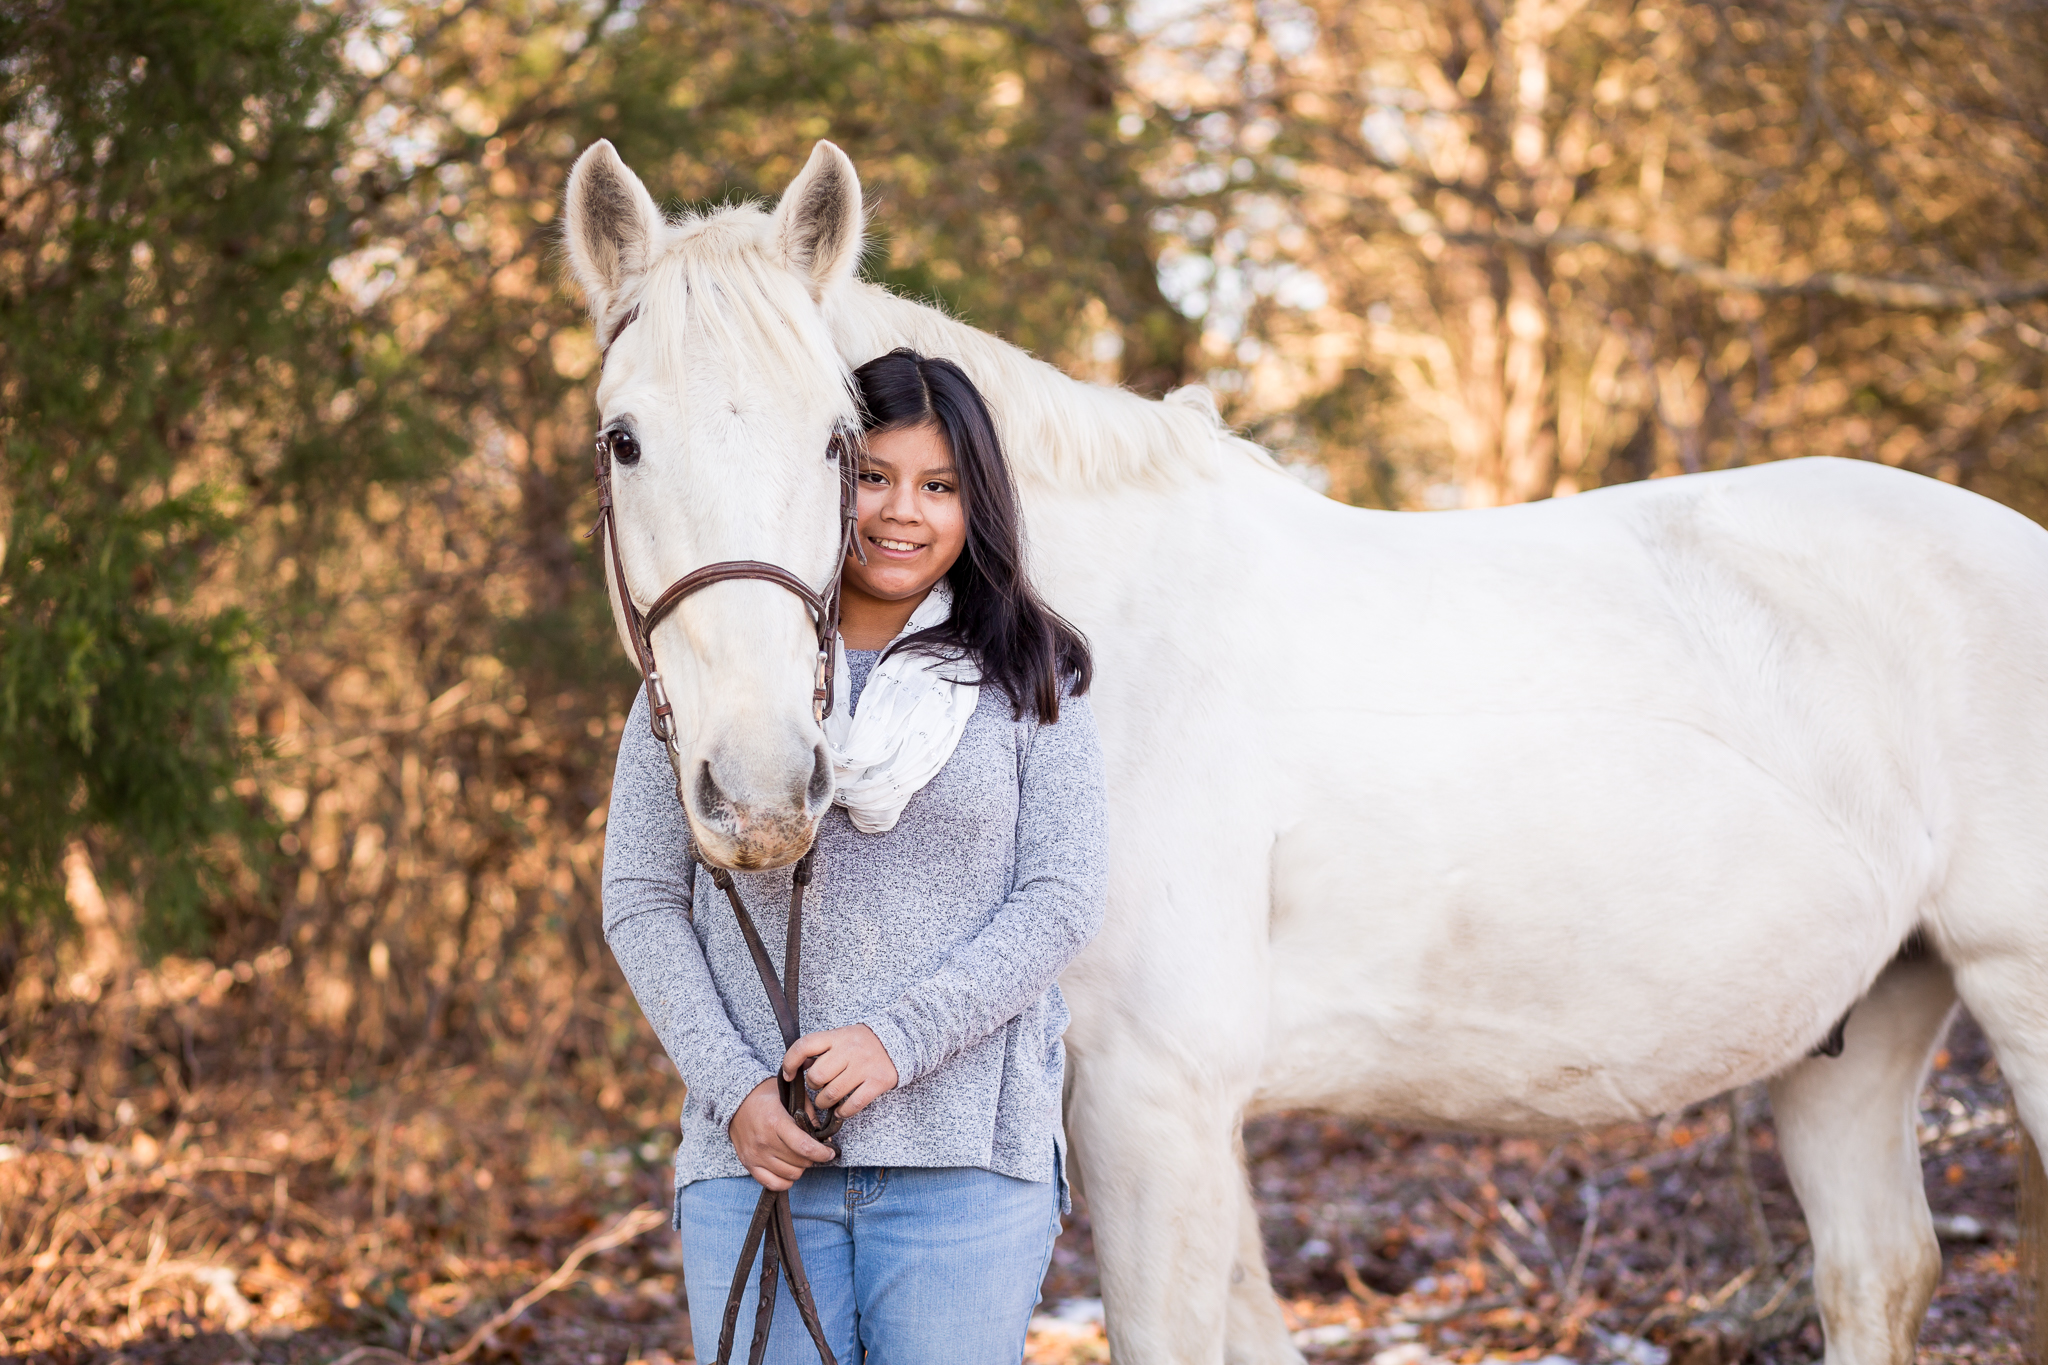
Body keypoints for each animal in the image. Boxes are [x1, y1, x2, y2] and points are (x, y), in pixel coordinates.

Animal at [563, 137, 2048, 1365]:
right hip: (1855, 1035)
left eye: (840, 441)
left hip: (2013, 993)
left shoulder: (1159, 1104)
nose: (762, 791)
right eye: (623, 440)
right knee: (1875, 1278)